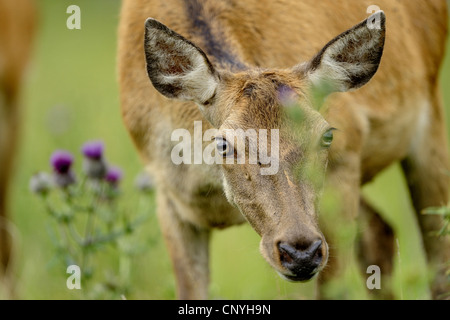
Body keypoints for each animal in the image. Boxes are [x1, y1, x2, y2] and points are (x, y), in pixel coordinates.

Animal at [118, 0, 448, 300]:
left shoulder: (345, 161)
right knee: (380, 233)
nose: (300, 252)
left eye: (327, 135)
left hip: (430, 112)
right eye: (223, 143)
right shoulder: (167, 194)